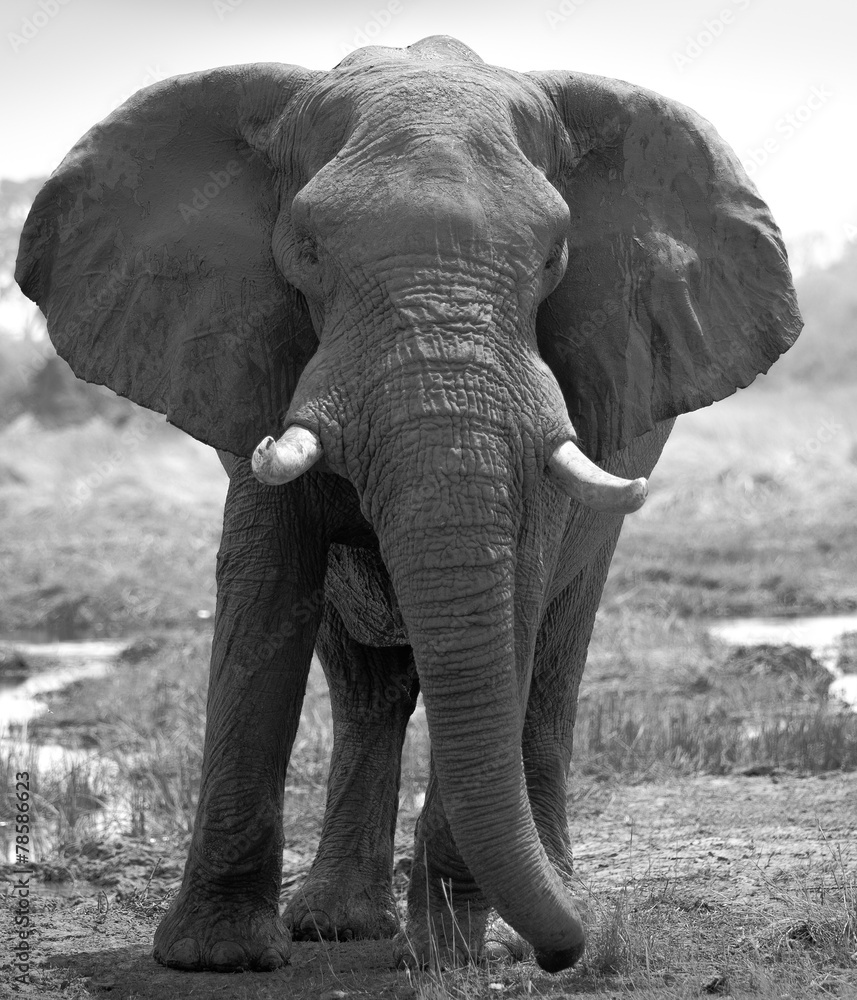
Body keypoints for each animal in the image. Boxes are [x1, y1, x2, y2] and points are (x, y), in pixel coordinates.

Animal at [15, 35, 804, 972]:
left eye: (554, 257)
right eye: (307, 249)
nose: (567, 955)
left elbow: (517, 594)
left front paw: (451, 954)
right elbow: (263, 590)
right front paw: (218, 958)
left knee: (553, 659)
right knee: (364, 684)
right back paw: (338, 925)